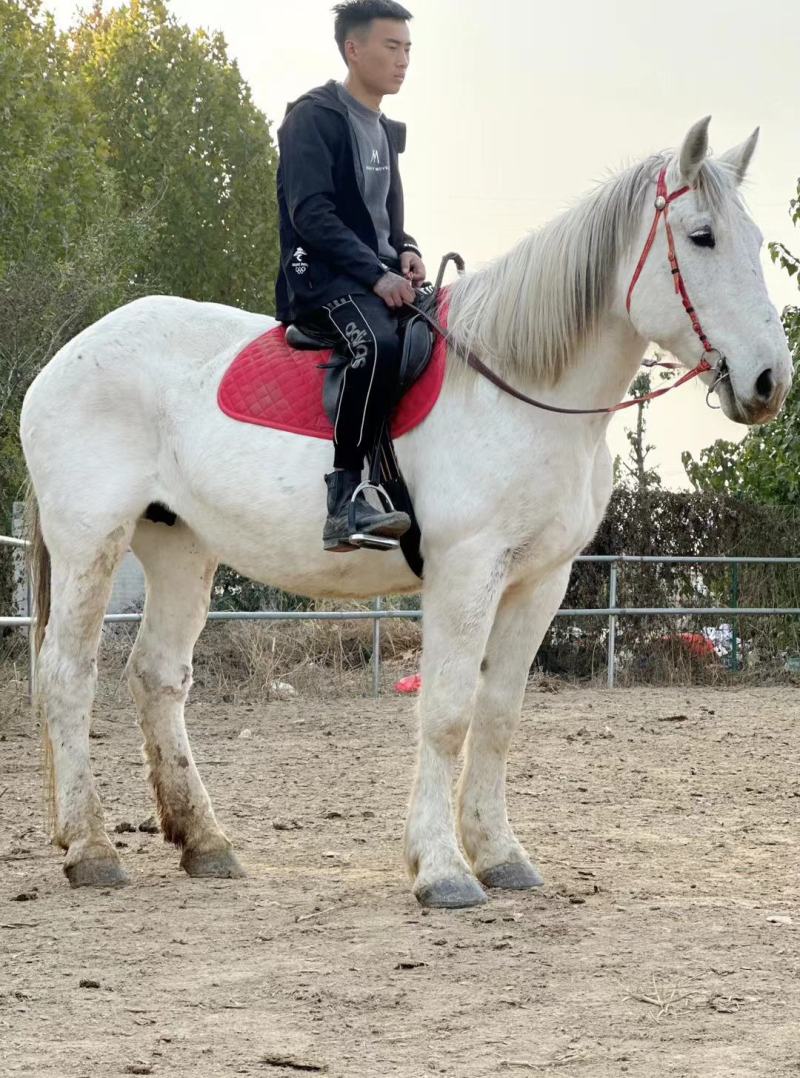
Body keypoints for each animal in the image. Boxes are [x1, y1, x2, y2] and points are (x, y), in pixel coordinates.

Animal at [20, 117, 792, 907]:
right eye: (701, 236)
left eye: (755, 237)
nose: (769, 380)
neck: (516, 388)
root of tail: (64, 359)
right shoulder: (466, 572)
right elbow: (448, 713)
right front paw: (443, 870)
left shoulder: (539, 581)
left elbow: (499, 715)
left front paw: (500, 855)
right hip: (91, 546)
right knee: (68, 675)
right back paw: (91, 848)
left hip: (180, 549)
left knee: (157, 676)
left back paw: (205, 843)